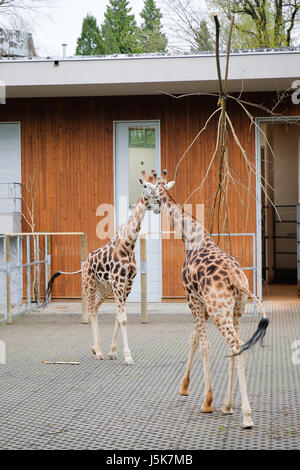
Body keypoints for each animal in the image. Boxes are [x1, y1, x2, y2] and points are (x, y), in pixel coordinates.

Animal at [44, 171, 157, 366]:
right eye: (145, 186)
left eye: (157, 186)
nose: (155, 198)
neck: (129, 244)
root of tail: (84, 264)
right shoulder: (119, 283)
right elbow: (123, 318)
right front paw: (127, 356)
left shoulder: (127, 283)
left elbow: (119, 317)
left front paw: (113, 352)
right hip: (89, 284)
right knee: (90, 310)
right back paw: (97, 351)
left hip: (104, 288)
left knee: (95, 309)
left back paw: (95, 348)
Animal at [142, 170, 270, 430]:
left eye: (150, 191)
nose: (151, 207)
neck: (191, 237)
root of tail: (236, 278)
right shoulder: (203, 305)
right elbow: (193, 338)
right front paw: (184, 388)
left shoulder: (192, 298)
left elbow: (203, 345)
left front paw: (207, 402)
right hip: (236, 309)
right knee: (236, 345)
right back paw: (229, 406)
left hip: (221, 311)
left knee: (236, 344)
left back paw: (247, 416)